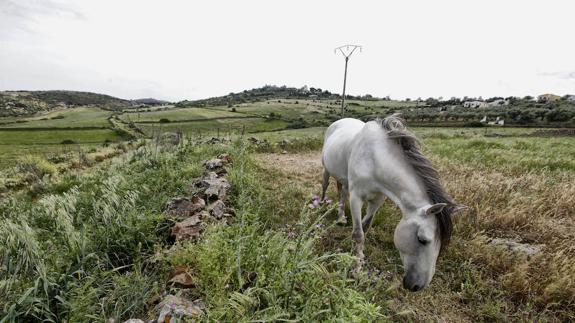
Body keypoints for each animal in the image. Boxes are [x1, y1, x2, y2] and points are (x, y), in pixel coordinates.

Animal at [322, 115, 466, 292]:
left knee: (342, 193)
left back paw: (341, 218)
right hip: (326, 169)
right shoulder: (356, 198)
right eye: (422, 240)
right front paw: (356, 269)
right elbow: (358, 235)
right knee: (325, 185)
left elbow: (365, 227)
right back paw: (320, 205)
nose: (417, 286)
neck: (374, 158)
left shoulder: (377, 200)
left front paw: (357, 256)